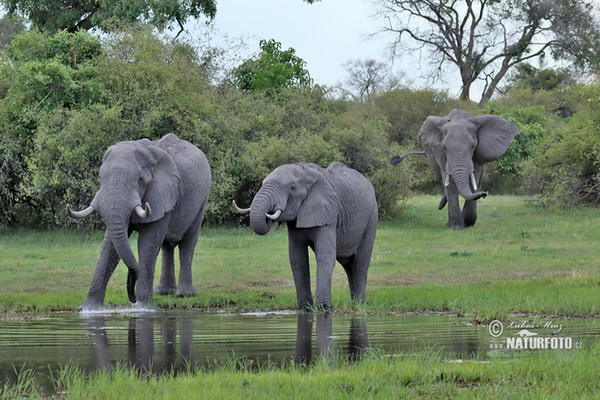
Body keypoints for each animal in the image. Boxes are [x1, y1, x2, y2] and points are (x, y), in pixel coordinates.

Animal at [67, 133, 212, 310]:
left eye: (140, 179)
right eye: (100, 178)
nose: (132, 298)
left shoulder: (160, 193)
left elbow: (147, 243)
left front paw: (142, 308)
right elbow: (109, 246)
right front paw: (88, 309)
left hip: (202, 200)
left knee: (187, 242)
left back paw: (184, 294)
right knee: (166, 246)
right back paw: (163, 292)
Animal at [233, 162, 378, 310]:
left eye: (292, 187)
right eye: (262, 183)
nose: (269, 213)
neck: (306, 173)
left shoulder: (329, 214)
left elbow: (325, 256)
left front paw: (324, 309)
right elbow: (297, 258)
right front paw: (305, 309)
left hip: (372, 216)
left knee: (360, 262)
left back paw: (360, 304)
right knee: (348, 265)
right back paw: (356, 304)